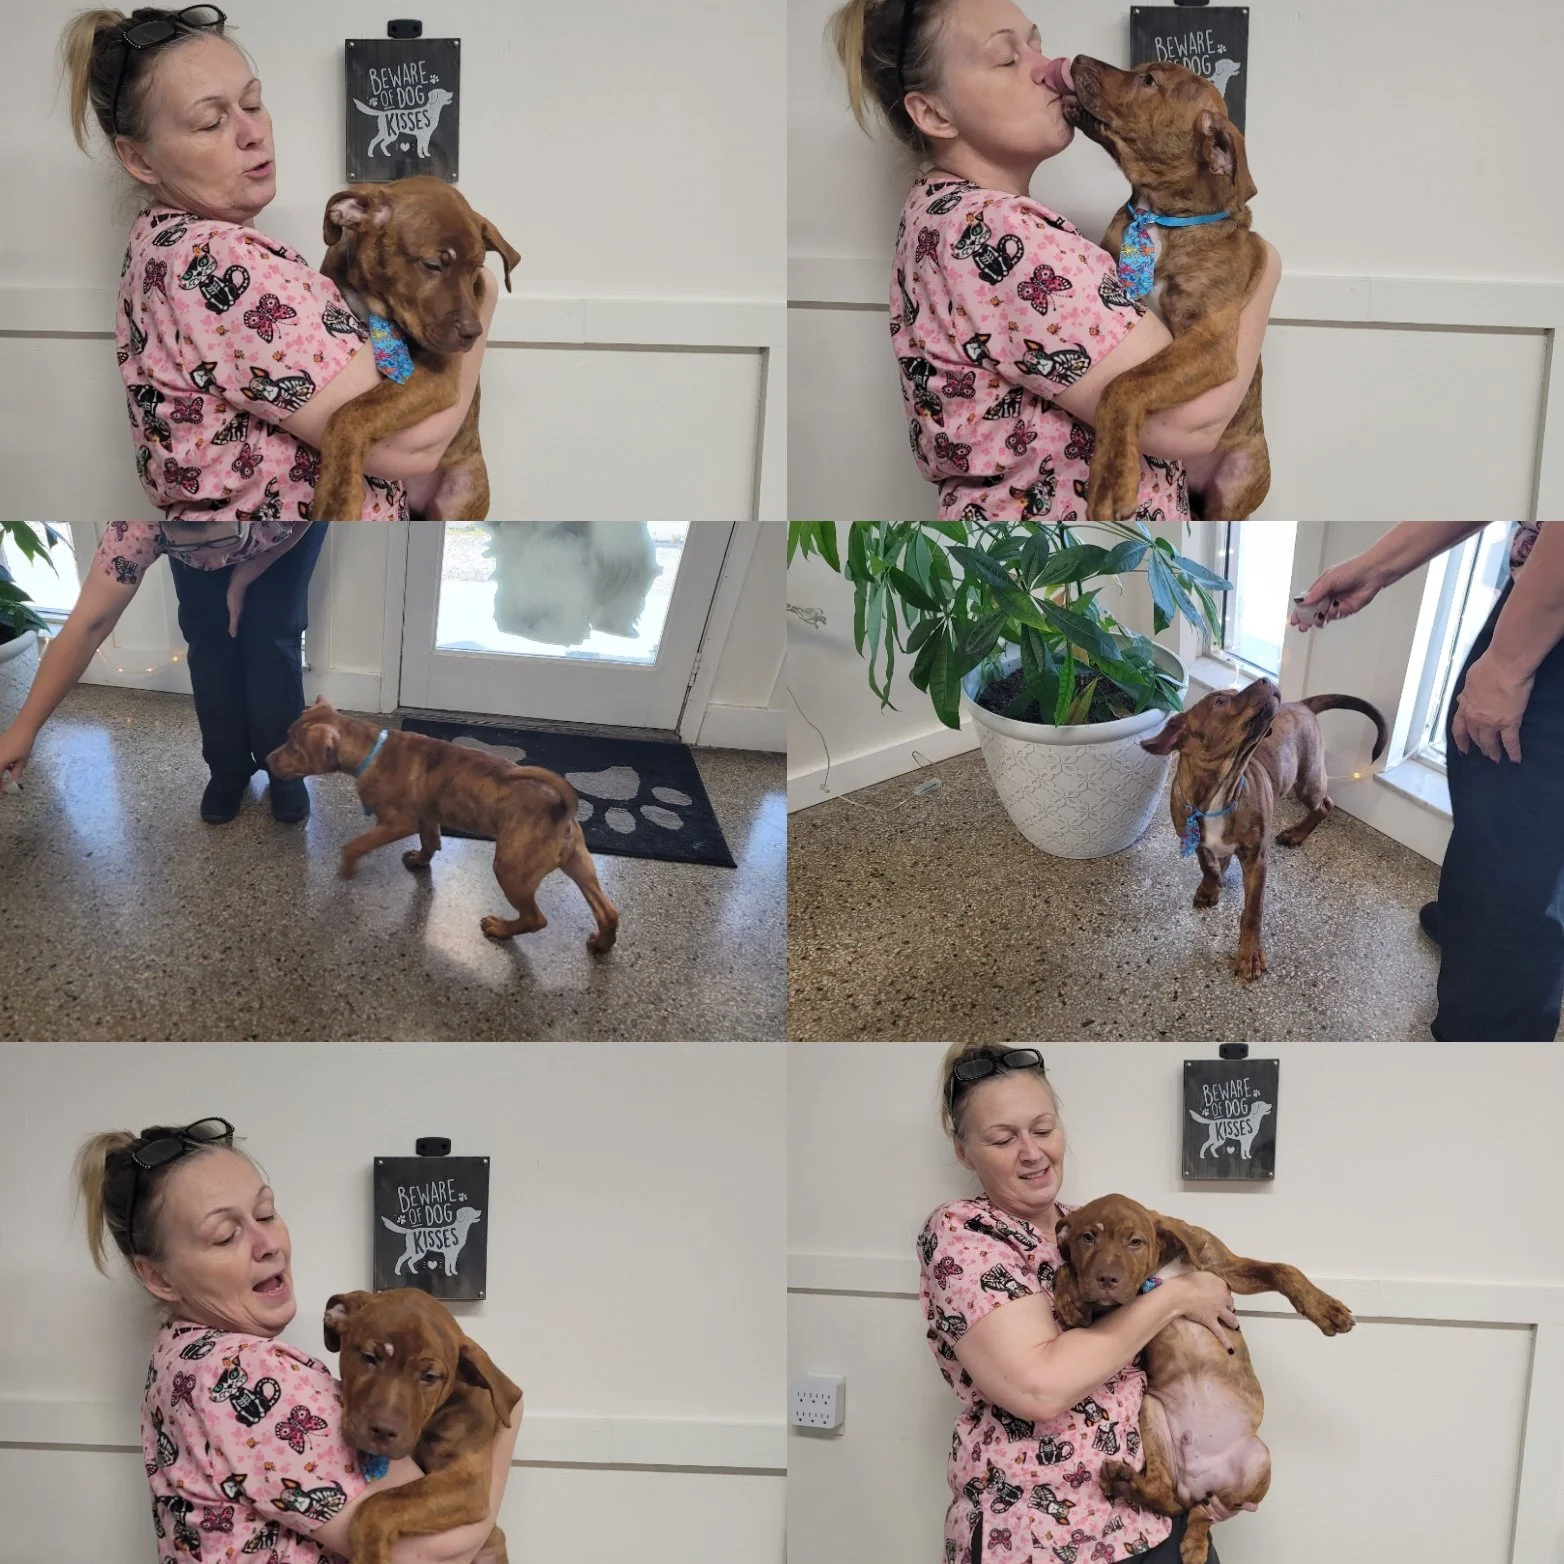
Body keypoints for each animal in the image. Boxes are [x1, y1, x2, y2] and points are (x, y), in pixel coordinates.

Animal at [265, 698, 619, 952]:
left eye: (294, 747)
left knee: (536, 918)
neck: (371, 750)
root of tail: (560, 807)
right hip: (578, 862)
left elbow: (355, 844)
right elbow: (430, 840)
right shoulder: (426, 814)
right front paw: (420, 860)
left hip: (512, 871)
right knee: (608, 911)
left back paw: (501, 929)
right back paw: (602, 944)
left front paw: (348, 867)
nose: (266, 761)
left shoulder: (399, 822)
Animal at [311, 176, 521, 523]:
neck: (378, 305)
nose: (472, 334)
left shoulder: (437, 377)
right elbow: (352, 411)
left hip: (460, 492)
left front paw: (337, 500)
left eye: (476, 269)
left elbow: (350, 414)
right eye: (433, 265)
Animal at [1052, 1194, 1353, 1564]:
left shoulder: (1223, 1266)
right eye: (1088, 1238)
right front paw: (1069, 1299)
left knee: (1204, 1512)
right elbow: (1066, 1270)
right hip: (1152, 1412)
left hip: (1258, 1459)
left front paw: (1326, 1309)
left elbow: (1283, 1268)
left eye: (1135, 1241)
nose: (1106, 1279)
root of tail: (1194, 1485)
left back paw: (1191, 1541)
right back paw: (1127, 1483)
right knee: (1167, 1495)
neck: (1158, 1267)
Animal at [1063, 56, 1270, 521]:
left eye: (1148, 81)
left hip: (1236, 482)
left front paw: (1111, 476)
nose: (1077, 59)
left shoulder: (1210, 340)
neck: (1160, 216)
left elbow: (1125, 383)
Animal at [1141, 678, 1387, 980]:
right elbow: (1208, 866)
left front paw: (1249, 954)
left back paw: (1296, 834)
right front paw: (1210, 888)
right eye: (1220, 701)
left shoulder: (1256, 859)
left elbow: (1252, 911)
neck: (1221, 791)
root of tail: (1302, 704)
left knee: (1325, 805)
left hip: (1307, 780)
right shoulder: (1196, 841)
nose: (1266, 680)